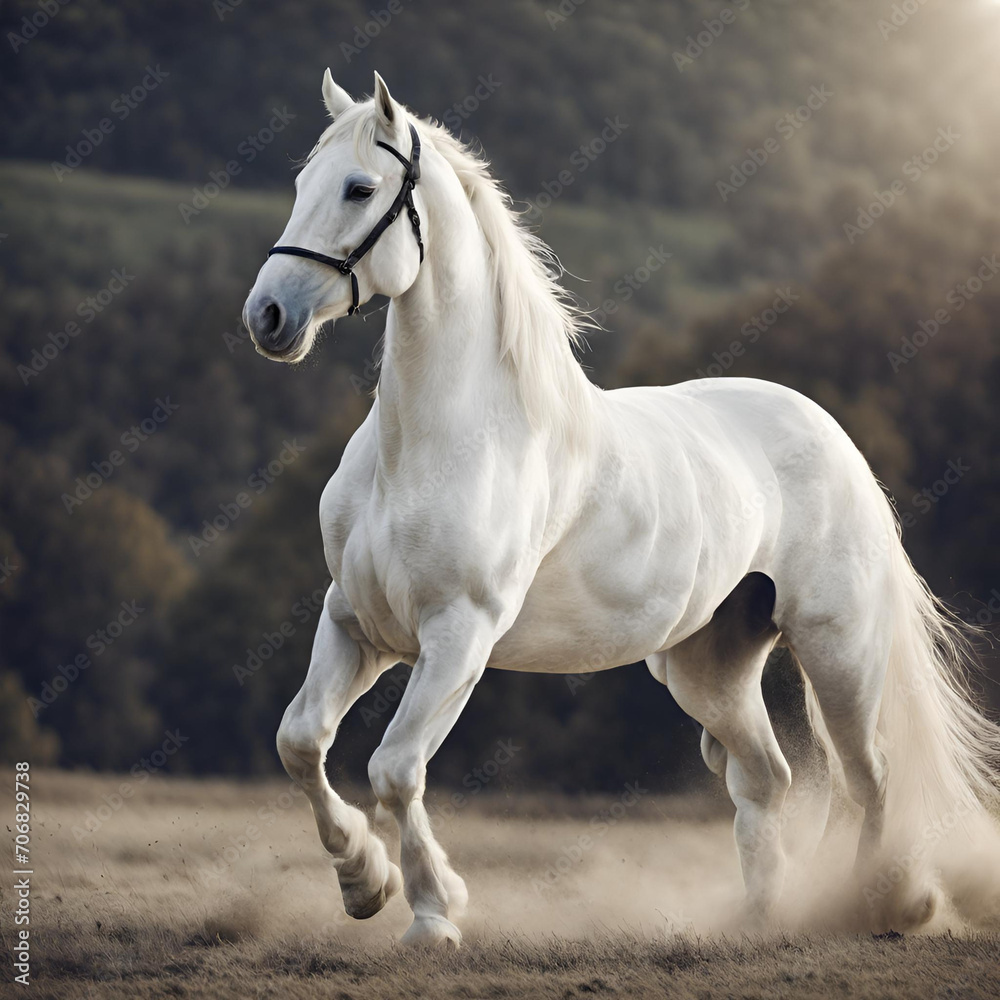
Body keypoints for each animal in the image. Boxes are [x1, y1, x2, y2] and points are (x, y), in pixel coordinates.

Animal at [242, 70, 1000, 947]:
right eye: (302, 182)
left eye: (360, 188)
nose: (268, 317)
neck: (435, 442)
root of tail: (832, 435)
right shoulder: (358, 624)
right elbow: (300, 743)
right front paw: (364, 884)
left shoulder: (457, 639)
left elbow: (395, 769)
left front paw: (434, 913)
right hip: (708, 666)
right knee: (767, 779)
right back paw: (757, 917)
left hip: (837, 649)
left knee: (867, 776)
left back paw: (883, 905)